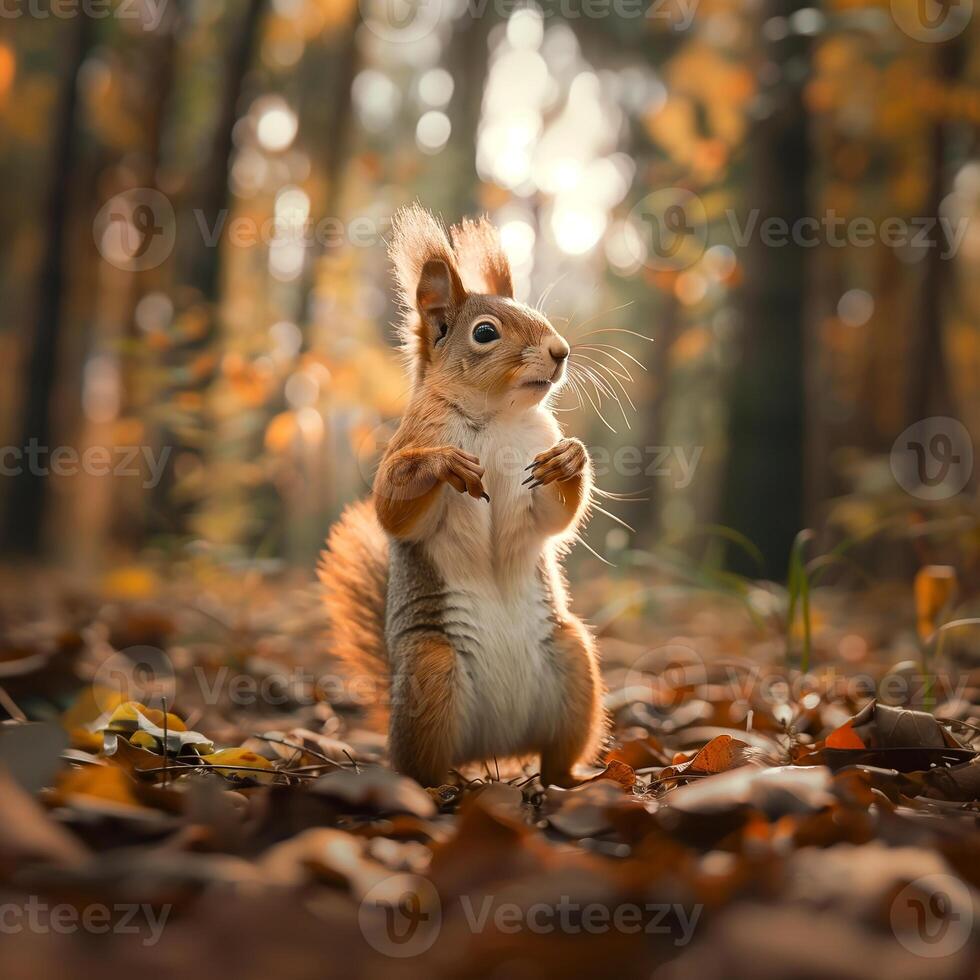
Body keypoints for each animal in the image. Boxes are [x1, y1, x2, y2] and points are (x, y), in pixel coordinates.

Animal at [318, 207, 604, 788]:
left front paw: (570, 458)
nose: (561, 351)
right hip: (431, 670)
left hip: (575, 659)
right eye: (485, 332)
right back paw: (444, 784)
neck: (494, 417)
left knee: (557, 755)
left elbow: (554, 518)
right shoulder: (407, 443)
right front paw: (444, 465)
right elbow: (393, 508)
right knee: (422, 767)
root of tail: (494, 750)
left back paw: (570, 780)